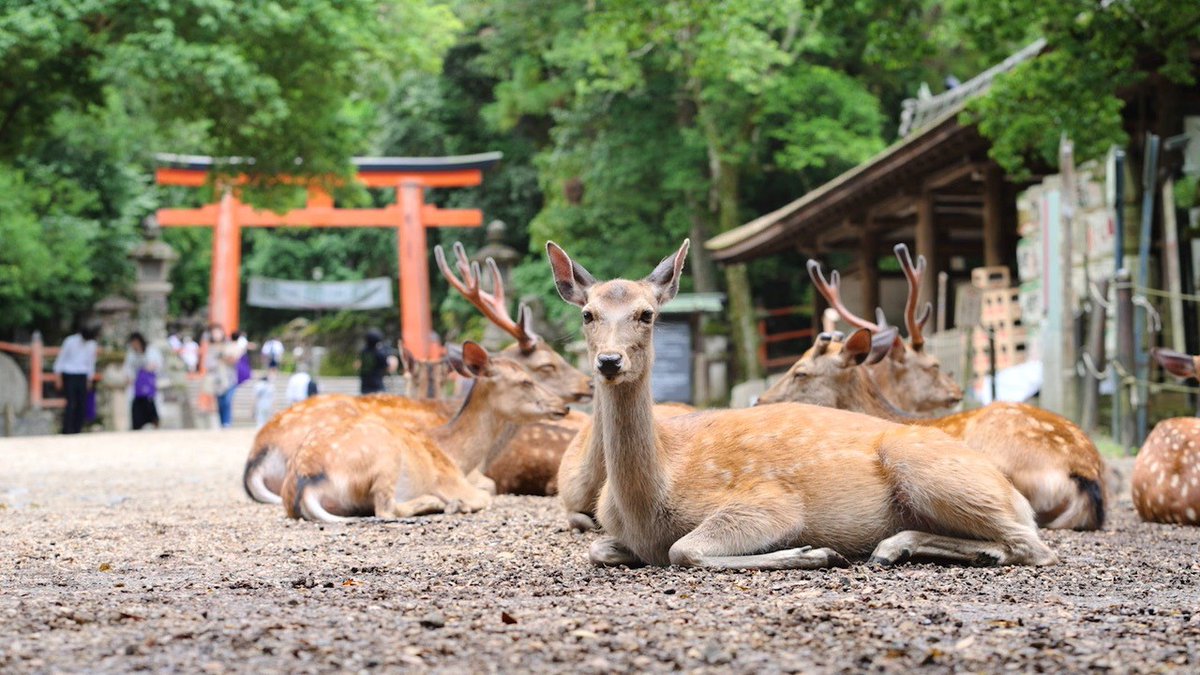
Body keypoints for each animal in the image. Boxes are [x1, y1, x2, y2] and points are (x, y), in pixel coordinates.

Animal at [280, 342, 569, 521]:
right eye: (525, 381)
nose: (563, 405)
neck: (456, 456)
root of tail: (306, 481)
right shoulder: (452, 482)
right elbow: (485, 496)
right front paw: (457, 503)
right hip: (385, 457)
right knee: (386, 509)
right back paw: (442, 504)